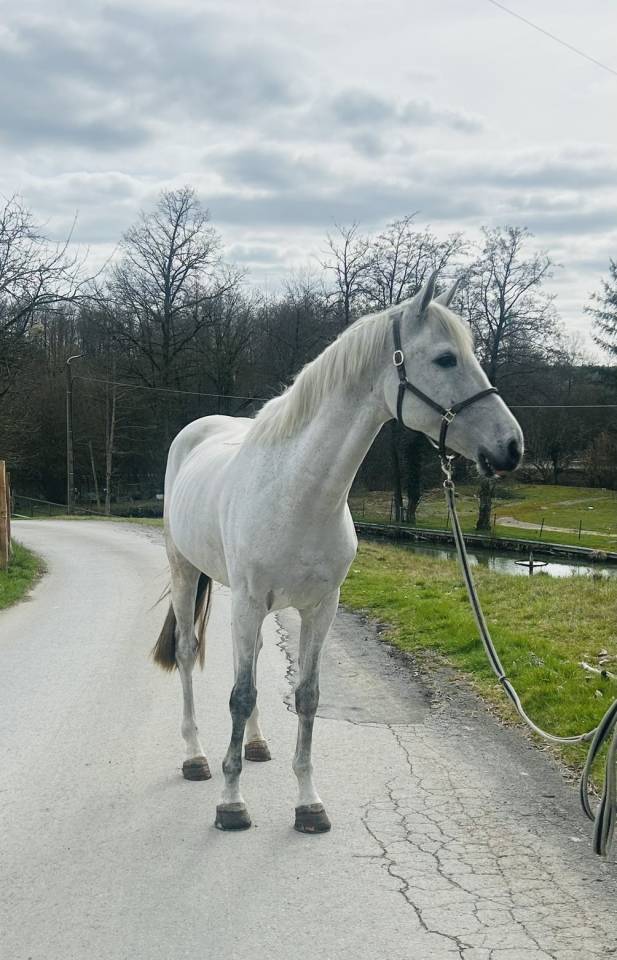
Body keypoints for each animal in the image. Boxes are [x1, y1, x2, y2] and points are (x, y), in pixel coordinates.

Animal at [153, 272, 524, 833]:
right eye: (445, 359)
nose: (512, 447)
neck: (298, 493)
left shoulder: (320, 607)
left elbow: (305, 697)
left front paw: (309, 803)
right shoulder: (249, 600)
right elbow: (240, 695)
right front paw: (232, 802)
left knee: (249, 661)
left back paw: (257, 745)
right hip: (186, 572)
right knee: (187, 651)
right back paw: (195, 757)